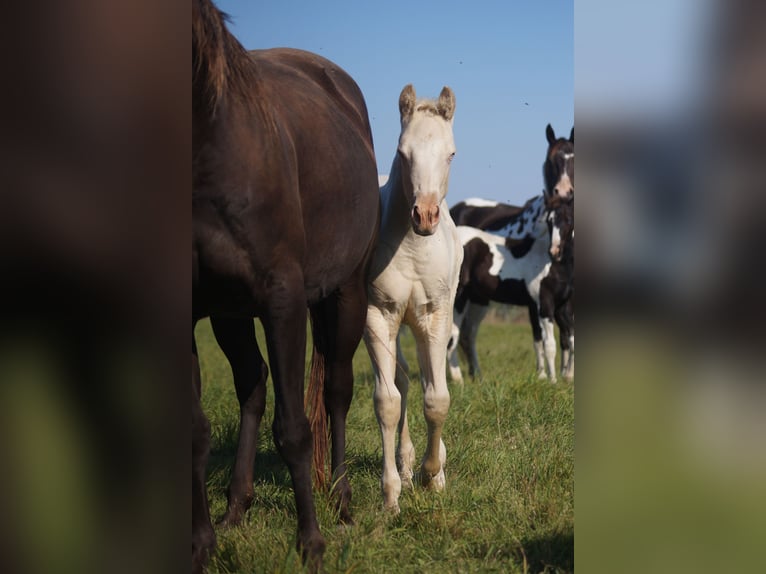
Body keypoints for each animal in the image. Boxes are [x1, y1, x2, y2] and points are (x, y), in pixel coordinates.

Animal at [194, 2, 382, 572]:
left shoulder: (284, 301)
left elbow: (296, 428)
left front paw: (311, 544)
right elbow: (195, 426)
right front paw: (201, 544)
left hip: (345, 295)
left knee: (336, 391)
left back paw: (341, 501)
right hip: (230, 314)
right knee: (252, 385)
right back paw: (236, 507)